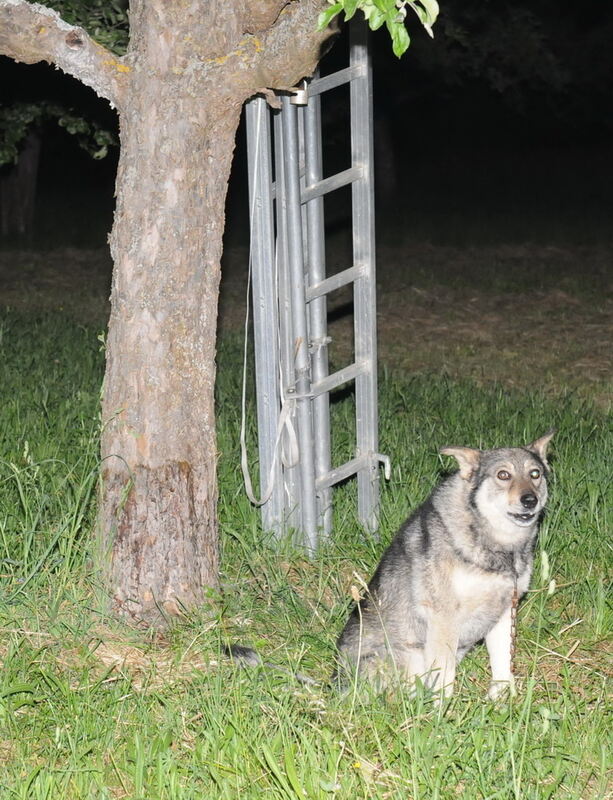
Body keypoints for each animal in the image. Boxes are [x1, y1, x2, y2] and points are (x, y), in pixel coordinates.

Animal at [334, 432, 556, 700]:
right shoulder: (444, 618)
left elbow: (502, 663)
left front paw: (500, 700)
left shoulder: (504, 612)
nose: (530, 500)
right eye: (503, 475)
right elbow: (444, 676)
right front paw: (443, 709)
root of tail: (337, 684)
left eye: (535, 474)